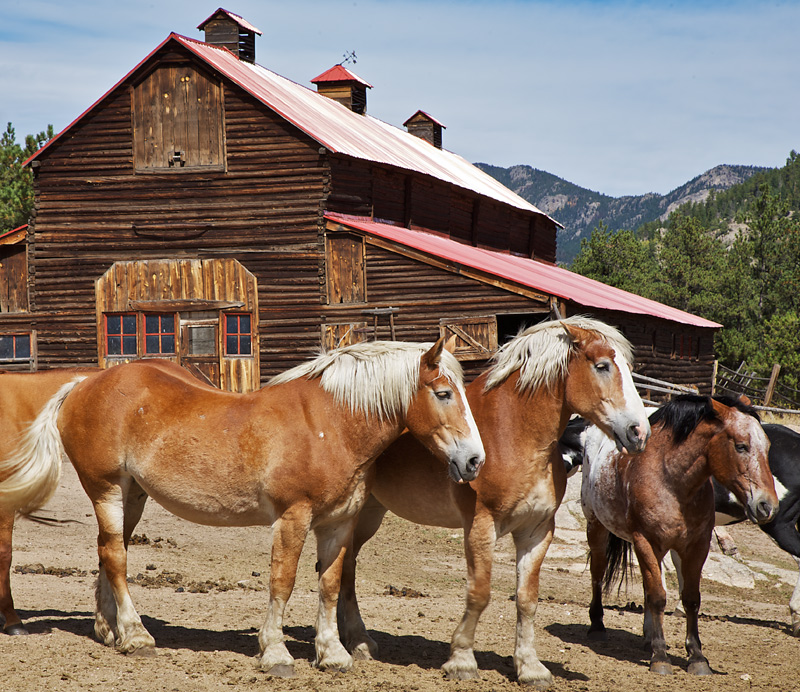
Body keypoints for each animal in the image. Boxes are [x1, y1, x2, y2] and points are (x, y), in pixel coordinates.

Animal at [337, 316, 651, 687]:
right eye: (602, 366)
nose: (639, 433)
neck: (513, 434)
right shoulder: (480, 526)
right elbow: (479, 593)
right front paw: (461, 661)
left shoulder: (537, 531)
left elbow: (527, 599)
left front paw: (530, 667)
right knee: (344, 568)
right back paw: (358, 641)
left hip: (370, 512)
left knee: (344, 566)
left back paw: (350, 639)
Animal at [580, 394, 779, 676]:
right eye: (741, 446)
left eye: (767, 447)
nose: (767, 506)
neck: (670, 479)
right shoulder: (645, 541)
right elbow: (657, 597)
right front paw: (660, 657)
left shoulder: (696, 547)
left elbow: (690, 599)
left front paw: (696, 656)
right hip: (596, 526)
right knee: (598, 572)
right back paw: (597, 625)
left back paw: (648, 637)